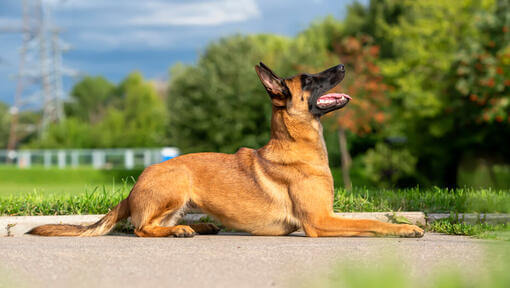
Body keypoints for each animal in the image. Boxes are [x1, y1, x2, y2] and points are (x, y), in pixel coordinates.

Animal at [28, 63, 426, 238]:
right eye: (310, 80)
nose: (342, 64)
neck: (295, 144)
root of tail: (132, 189)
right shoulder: (319, 222)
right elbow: (370, 223)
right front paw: (405, 230)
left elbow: (370, 219)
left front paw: (404, 223)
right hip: (176, 181)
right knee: (141, 228)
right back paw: (181, 232)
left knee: (156, 223)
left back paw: (200, 226)